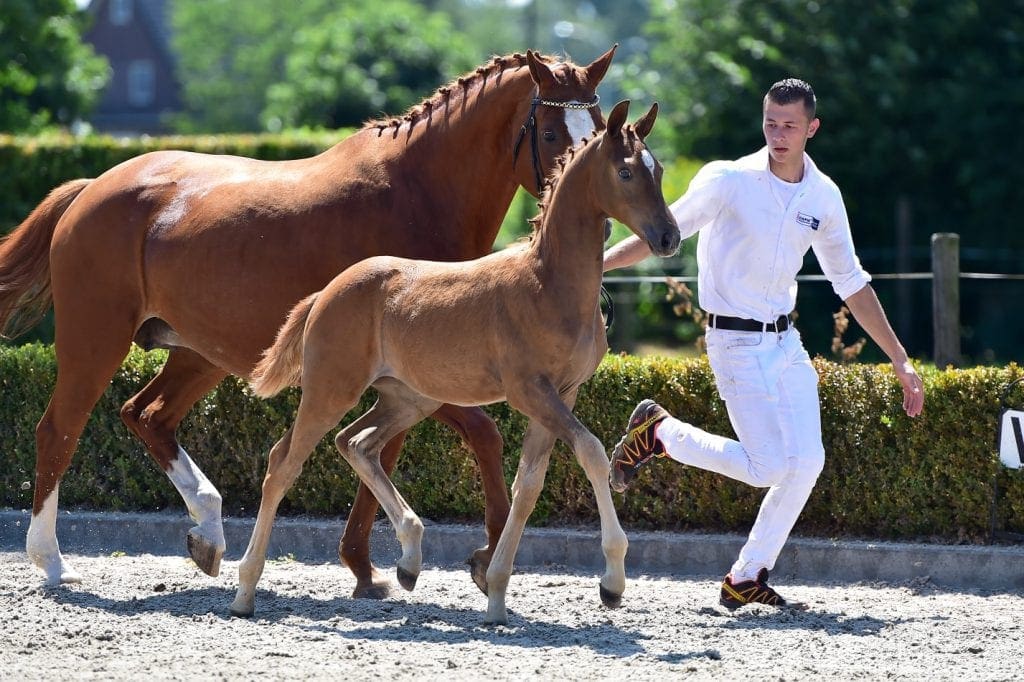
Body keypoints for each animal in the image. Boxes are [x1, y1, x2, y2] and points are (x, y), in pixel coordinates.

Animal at [0, 47, 617, 596]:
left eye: (600, 125)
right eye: (551, 133)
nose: (603, 219)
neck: (414, 192)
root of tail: (92, 188)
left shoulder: (406, 372)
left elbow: (384, 450)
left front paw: (370, 566)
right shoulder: (416, 370)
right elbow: (475, 435)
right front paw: (476, 556)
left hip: (200, 354)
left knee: (147, 415)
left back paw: (209, 533)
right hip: (96, 340)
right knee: (59, 429)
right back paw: (52, 561)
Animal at [231, 100, 680, 624]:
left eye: (659, 169)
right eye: (625, 171)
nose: (668, 237)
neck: (549, 284)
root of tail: (325, 293)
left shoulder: (563, 393)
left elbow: (529, 483)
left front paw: (497, 593)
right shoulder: (531, 391)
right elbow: (589, 451)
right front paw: (612, 581)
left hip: (408, 398)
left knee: (356, 443)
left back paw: (409, 558)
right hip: (330, 388)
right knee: (284, 462)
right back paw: (244, 589)